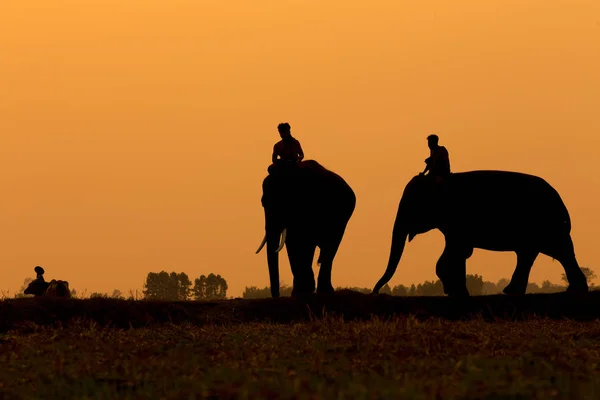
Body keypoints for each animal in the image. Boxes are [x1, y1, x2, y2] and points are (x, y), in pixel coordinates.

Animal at [254, 161, 356, 298]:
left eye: (286, 202)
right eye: (263, 203)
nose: (277, 295)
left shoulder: (309, 207)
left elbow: (306, 243)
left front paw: (303, 291)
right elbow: (292, 242)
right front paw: (299, 291)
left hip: (342, 218)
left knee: (331, 246)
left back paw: (325, 290)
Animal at [372, 170, 588, 296]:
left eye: (411, 205)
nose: (375, 292)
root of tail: (560, 200)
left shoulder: (458, 219)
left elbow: (456, 251)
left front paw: (457, 292)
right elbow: (457, 252)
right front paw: (455, 291)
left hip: (546, 224)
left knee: (558, 251)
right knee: (533, 254)